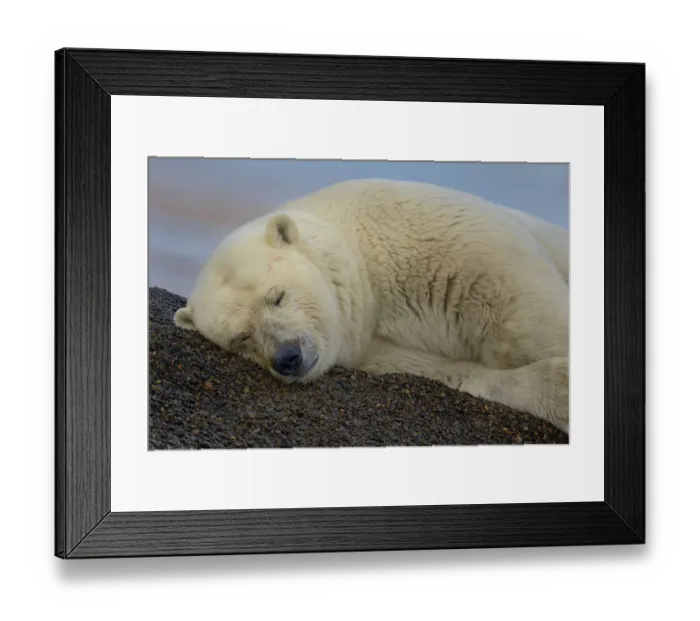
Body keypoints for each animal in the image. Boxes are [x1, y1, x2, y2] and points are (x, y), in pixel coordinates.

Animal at [174, 178, 570, 434]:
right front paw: (560, 390)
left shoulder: (449, 245)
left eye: (277, 295)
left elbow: (528, 311)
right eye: (241, 338)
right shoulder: (377, 349)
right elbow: (451, 371)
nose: (287, 357)